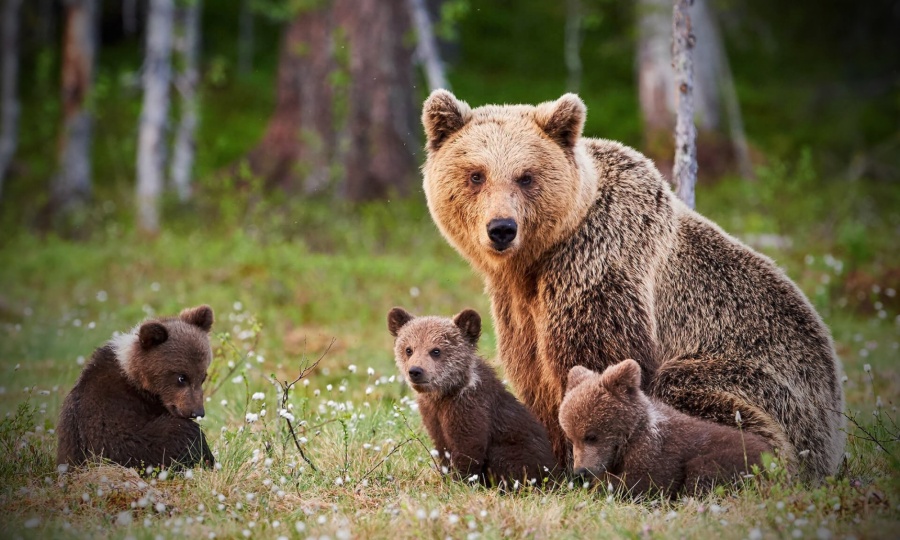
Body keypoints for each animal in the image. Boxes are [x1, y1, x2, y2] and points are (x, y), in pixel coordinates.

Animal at [420, 90, 844, 484]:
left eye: (526, 176)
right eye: (476, 174)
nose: (502, 228)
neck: (538, 259)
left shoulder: (598, 267)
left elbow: (597, 364)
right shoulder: (518, 306)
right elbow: (533, 374)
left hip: (765, 384)